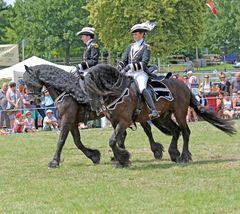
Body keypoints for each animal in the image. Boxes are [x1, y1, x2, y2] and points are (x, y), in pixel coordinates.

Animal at [23, 64, 174, 168]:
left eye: (30, 82)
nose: (32, 101)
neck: (67, 92)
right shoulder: (72, 122)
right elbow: (77, 142)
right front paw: (94, 156)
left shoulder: (67, 120)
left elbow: (61, 141)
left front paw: (54, 162)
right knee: (135, 132)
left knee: (146, 130)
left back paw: (154, 151)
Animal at [84, 63, 236, 167]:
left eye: (92, 86)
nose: (94, 107)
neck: (119, 92)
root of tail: (184, 86)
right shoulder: (116, 122)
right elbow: (117, 140)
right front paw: (121, 159)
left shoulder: (124, 121)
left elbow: (112, 140)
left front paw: (122, 159)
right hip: (164, 117)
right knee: (176, 130)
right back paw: (174, 153)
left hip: (180, 114)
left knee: (185, 132)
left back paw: (183, 157)